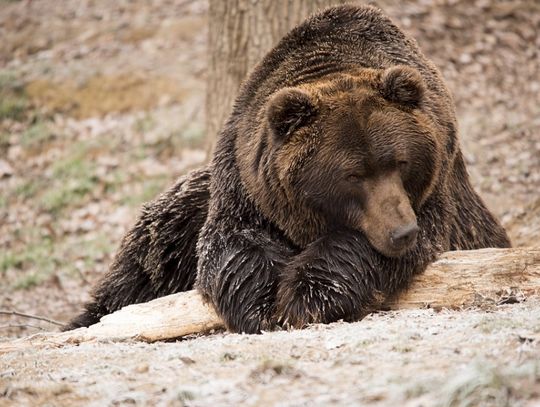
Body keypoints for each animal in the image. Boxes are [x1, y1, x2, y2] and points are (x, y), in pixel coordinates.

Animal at [64, 5, 510, 334]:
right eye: (353, 175)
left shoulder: (435, 195)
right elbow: (231, 244)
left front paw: (305, 296)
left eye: (400, 162)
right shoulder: (244, 182)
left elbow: (365, 245)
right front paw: (263, 305)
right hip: (182, 214)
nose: (402, 232)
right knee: (146, 259)